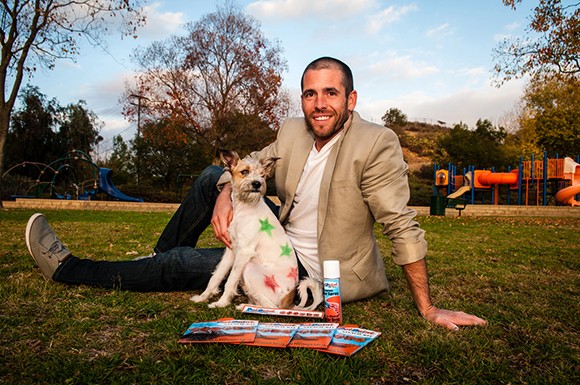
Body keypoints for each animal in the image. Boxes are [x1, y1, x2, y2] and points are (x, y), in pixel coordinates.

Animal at [193, 150, 324, 308]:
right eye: (245, 172)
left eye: (262, 175)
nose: (257, 183)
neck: (245, 207)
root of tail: (289, 301)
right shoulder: (231, 251)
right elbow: (217, 276)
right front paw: (203, 297)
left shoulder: (244, 252)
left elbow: (230, 281)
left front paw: (221, 303)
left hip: (250, 268)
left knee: (270, 306)